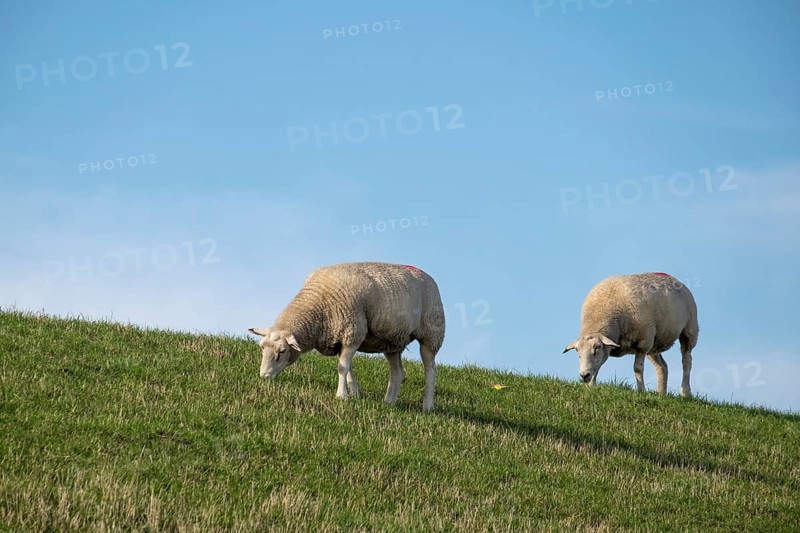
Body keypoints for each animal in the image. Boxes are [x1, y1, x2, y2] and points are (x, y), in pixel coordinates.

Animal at [248, 261, 446, 412]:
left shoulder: (353, 333)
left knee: (430, 370)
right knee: (397, 372)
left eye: (282, 351)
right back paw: (389, 402)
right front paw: (355, 393)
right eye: (261, 348)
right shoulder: (339, 338)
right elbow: (347, 367)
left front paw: (341, 396)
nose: (264, 376)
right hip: (392, 340)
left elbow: (342, 368)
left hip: (432, 333)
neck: (317, 307)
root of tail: (426, 275)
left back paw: (427, 406)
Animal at [562, 272, 699, 397]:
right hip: (653, 342)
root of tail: (674, 279)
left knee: (687, 361)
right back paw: (661, 394)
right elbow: (597, 366)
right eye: (577, 350)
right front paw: (591, 387)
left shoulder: (642, 344)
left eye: (598, 347)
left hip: (689, 329)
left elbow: (637, 369)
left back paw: (685, 392)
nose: (584, 375)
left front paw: (641, 391)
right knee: (662, 366)